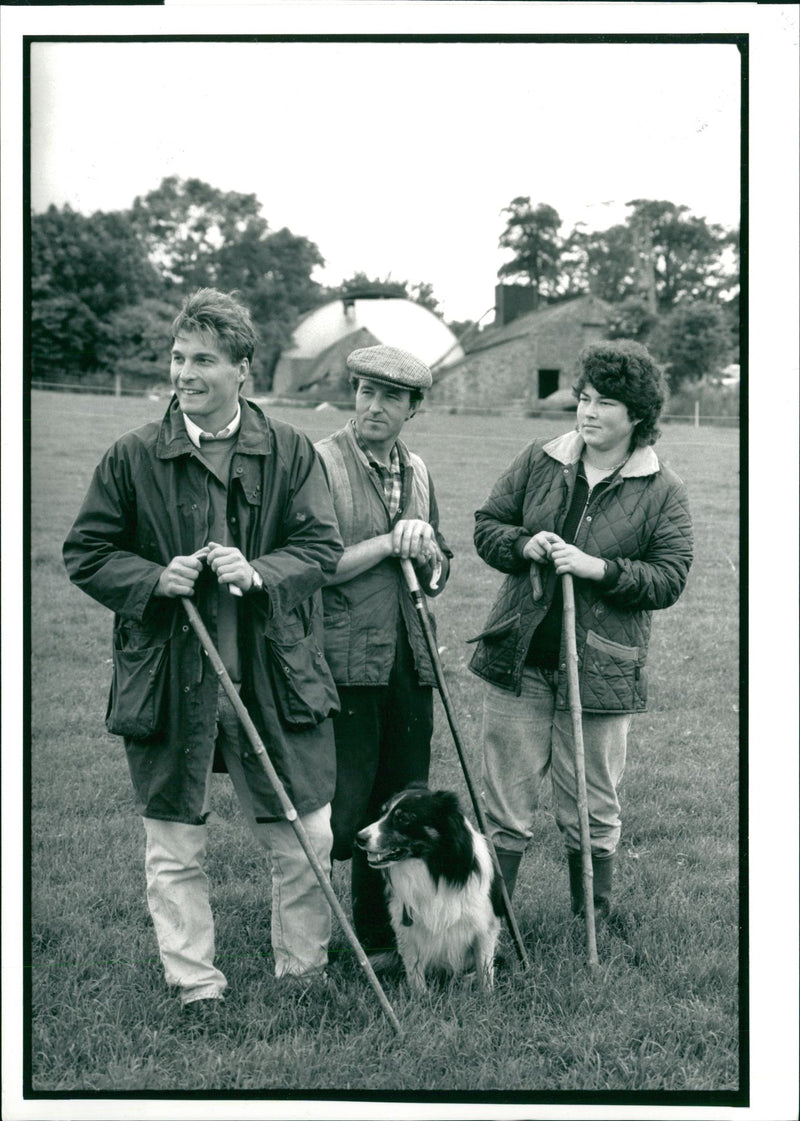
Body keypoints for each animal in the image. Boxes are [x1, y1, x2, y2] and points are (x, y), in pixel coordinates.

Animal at [356, 780, 501, 990]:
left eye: (404, 818)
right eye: (382, 812)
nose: (359, 837)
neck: (433, 869)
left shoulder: (484, 925)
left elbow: (485, 972)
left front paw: (487, 996)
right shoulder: (407, 930)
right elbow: (415, 975)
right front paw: (421, 997)